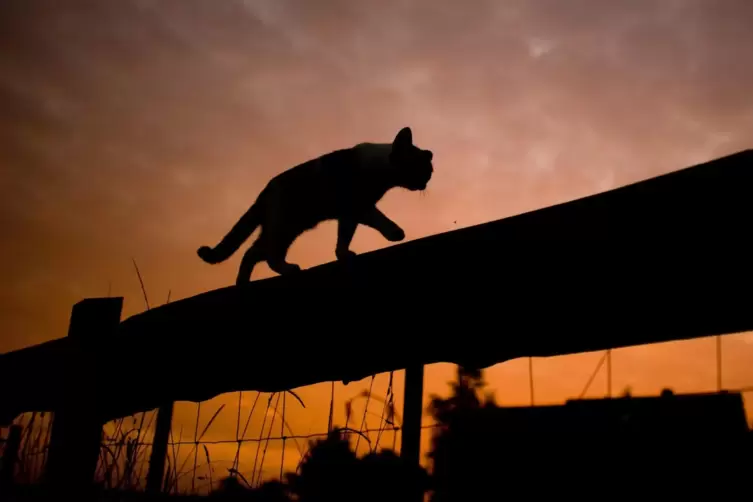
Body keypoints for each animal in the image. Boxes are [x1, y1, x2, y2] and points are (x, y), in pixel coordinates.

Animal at [197, 125, 432, 284]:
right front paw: (396, 233)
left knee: (255, 252)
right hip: (284, 227)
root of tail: (263, 194)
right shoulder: (358, 206)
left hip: (287, 229)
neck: (378, 168)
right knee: (263, 253)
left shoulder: (348, 215)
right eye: (423, 168)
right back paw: (277, 272)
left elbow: (344, 237)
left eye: (429, 171)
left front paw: (342, 254)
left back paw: (246, 281)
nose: (425, 183)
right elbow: (379, 219)